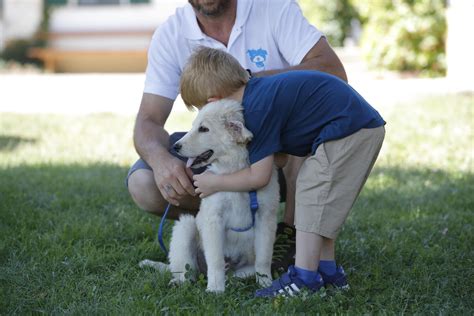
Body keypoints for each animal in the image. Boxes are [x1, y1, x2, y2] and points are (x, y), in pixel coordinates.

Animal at [141, 100, 282, 292]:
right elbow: (215, 259)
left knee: (239, 273)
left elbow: (264, 257)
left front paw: (266, 284)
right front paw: (215, 289)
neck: (234, 173)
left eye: (203, 129)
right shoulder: (213, 217)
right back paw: (180, 282)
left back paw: (233, 281)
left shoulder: (266, 217)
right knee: (187, 272)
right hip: (186, 227)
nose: (175, 146)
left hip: (244, 267)